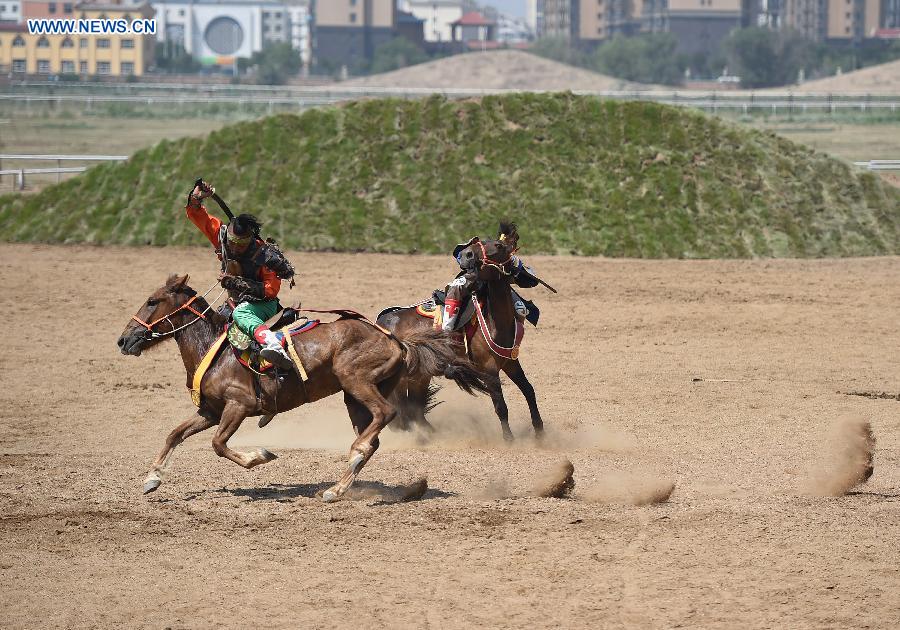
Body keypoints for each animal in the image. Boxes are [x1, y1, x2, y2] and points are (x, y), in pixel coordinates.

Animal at [116, 276, 496, 504]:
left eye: (152, 301)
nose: (123, 339)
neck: (216, 350)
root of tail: (397, 341)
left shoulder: (237, 406)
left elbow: (219, 445)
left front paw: (260, 455)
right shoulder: (210, 411)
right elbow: (175, 434)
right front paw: (152, 479)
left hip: (355, 381)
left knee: (383, 418)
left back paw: (350, 460)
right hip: (354, 397)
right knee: (375, 437)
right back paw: (337, 488)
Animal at [376, 230, 544, 442]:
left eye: (498, 245)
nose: (466, 255)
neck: (493, 320)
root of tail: (381, 322)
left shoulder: (510, 362)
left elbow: (529, 390)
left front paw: (540, 432)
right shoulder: (488, 369)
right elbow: (500, 405)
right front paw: (509, 440)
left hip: (420, 377)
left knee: (415, 411)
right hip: (402, 379)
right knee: (406, 411)